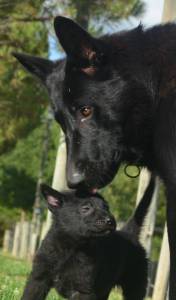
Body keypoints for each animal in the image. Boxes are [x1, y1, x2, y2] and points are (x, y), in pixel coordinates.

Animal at [21, 176, 155, 300]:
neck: (70, 248)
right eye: (86, 208)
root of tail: (129, 233)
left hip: (135, 286)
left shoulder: (83, 290)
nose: (110, 221)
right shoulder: (38, 279)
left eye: (106, 208)